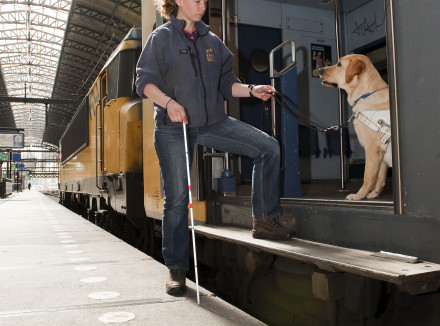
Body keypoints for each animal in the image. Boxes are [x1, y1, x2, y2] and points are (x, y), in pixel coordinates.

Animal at [318, 54, 390, 200]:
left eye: (339, 64)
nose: (319, 69)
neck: (366, 95)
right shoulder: (381, 152)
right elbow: (380, 177)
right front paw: (374, 194)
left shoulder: (373, 149)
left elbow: (368, 177)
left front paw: (359, 195)